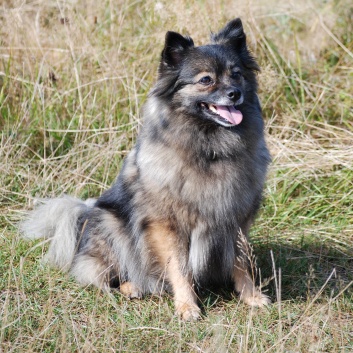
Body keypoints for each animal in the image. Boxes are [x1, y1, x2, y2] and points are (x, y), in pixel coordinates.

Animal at [21, 18, 270, 320]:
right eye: (206, 80)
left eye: (236, 75)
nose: (235, 94)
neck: (210, 151)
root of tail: (85, 214)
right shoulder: (168, 226)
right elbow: (180, 268)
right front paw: (187, 306)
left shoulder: (236, 221)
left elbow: (241, 263)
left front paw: (251, 297)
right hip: (112, 226)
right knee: (106, 276)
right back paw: (132, 287)